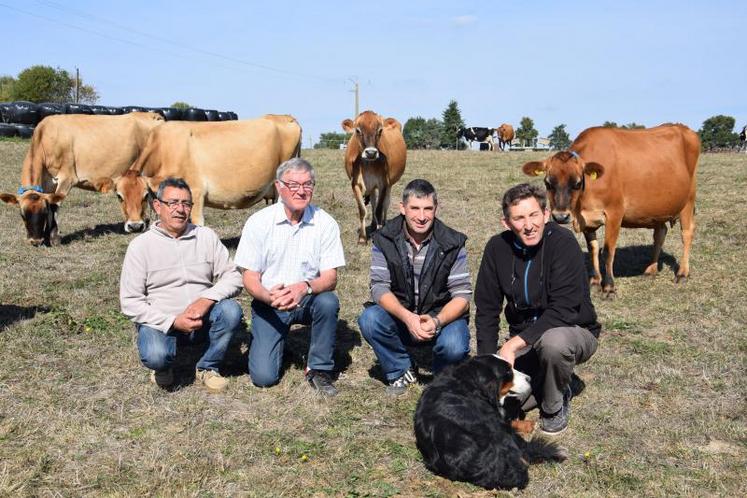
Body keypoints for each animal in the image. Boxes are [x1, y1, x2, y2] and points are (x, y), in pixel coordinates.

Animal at [0, 112, 164, 245]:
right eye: (22, 214)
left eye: (42, 213)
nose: (35, 241)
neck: (46, 136)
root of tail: (151, 115)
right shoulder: (48, 183)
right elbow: (50, 202)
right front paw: (47, 237)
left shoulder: (67, 177)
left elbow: (55, 205)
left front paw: (54, 239)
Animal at [342, 110, 406, 244]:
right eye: (357, 130)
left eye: (380, 130)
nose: (371, 153)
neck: (368, 165)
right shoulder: (355, 184)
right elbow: (362, 210)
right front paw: (362, 238)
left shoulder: (383, 184)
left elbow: (379, 209)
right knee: (373, 201)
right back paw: (372, 224)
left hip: (389, 185)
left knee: (385, 204)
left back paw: (383, 223)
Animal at [520, 123, 700, 298]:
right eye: (548, 183)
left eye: (577, 183)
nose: (560, 216)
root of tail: (683, 128)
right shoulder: (587, 219)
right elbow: (593, 249)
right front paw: (595, 281)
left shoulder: (614, 213)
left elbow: (608, 251)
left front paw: (609, 287)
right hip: (657, 209)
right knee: (660, 233)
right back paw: (651, 269)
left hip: (688, 200)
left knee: (687, 233)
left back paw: (682, 273)